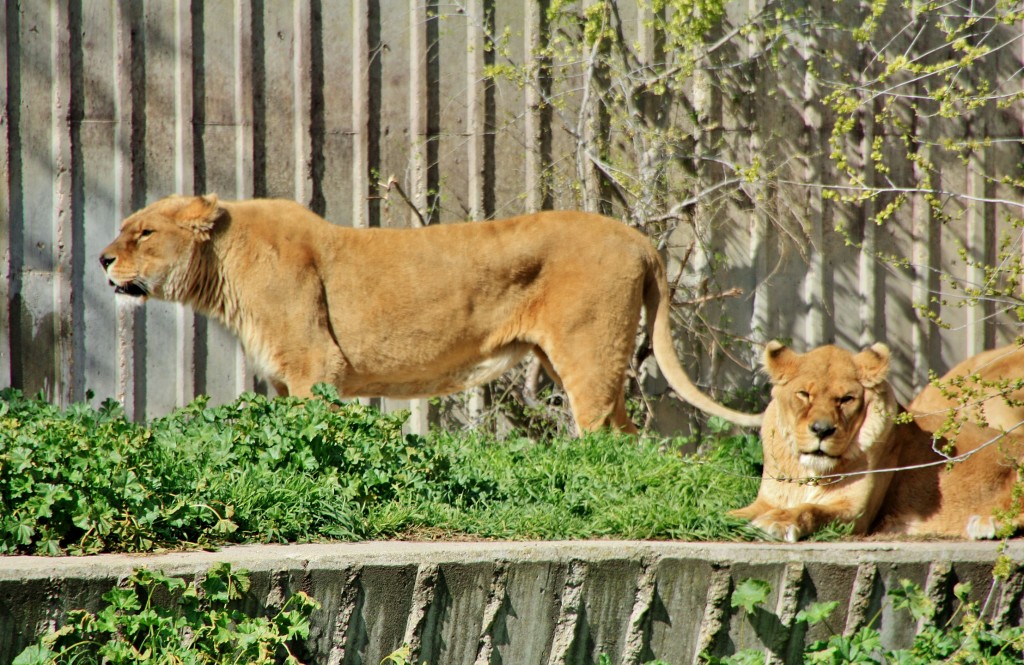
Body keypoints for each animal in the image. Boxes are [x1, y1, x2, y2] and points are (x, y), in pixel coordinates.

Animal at [99, 193, 765, 430]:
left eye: (144, 232)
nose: (103, 259)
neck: (225, 261)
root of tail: (641, 239)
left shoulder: (317, 365)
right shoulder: (290, 379)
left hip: (588, 353)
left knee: (603, 433)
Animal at [729, 342, 1024, 541]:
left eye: (846, 399)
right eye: (804, 394)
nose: (822, 430)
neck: (809, 469)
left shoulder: (856, 514)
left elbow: (811, 509)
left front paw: (779, 522)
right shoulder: (767, 500)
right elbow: (734, 512)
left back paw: (988, 523)